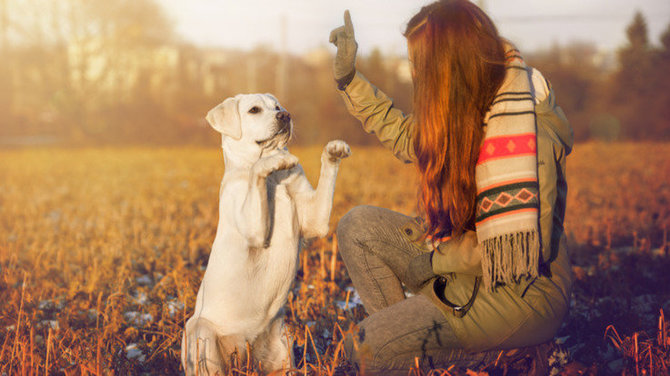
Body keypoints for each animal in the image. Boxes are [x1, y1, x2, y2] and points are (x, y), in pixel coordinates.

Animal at [184, 92, 352, 374]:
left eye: (277, 107)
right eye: (254, 110)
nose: (285, 115)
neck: (276, 181)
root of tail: (246, 350)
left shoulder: (315, 221)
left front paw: (333, 150)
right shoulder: (255, 231)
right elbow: (257, 171)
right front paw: (274, 160)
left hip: (284, 346)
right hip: (200, 332)